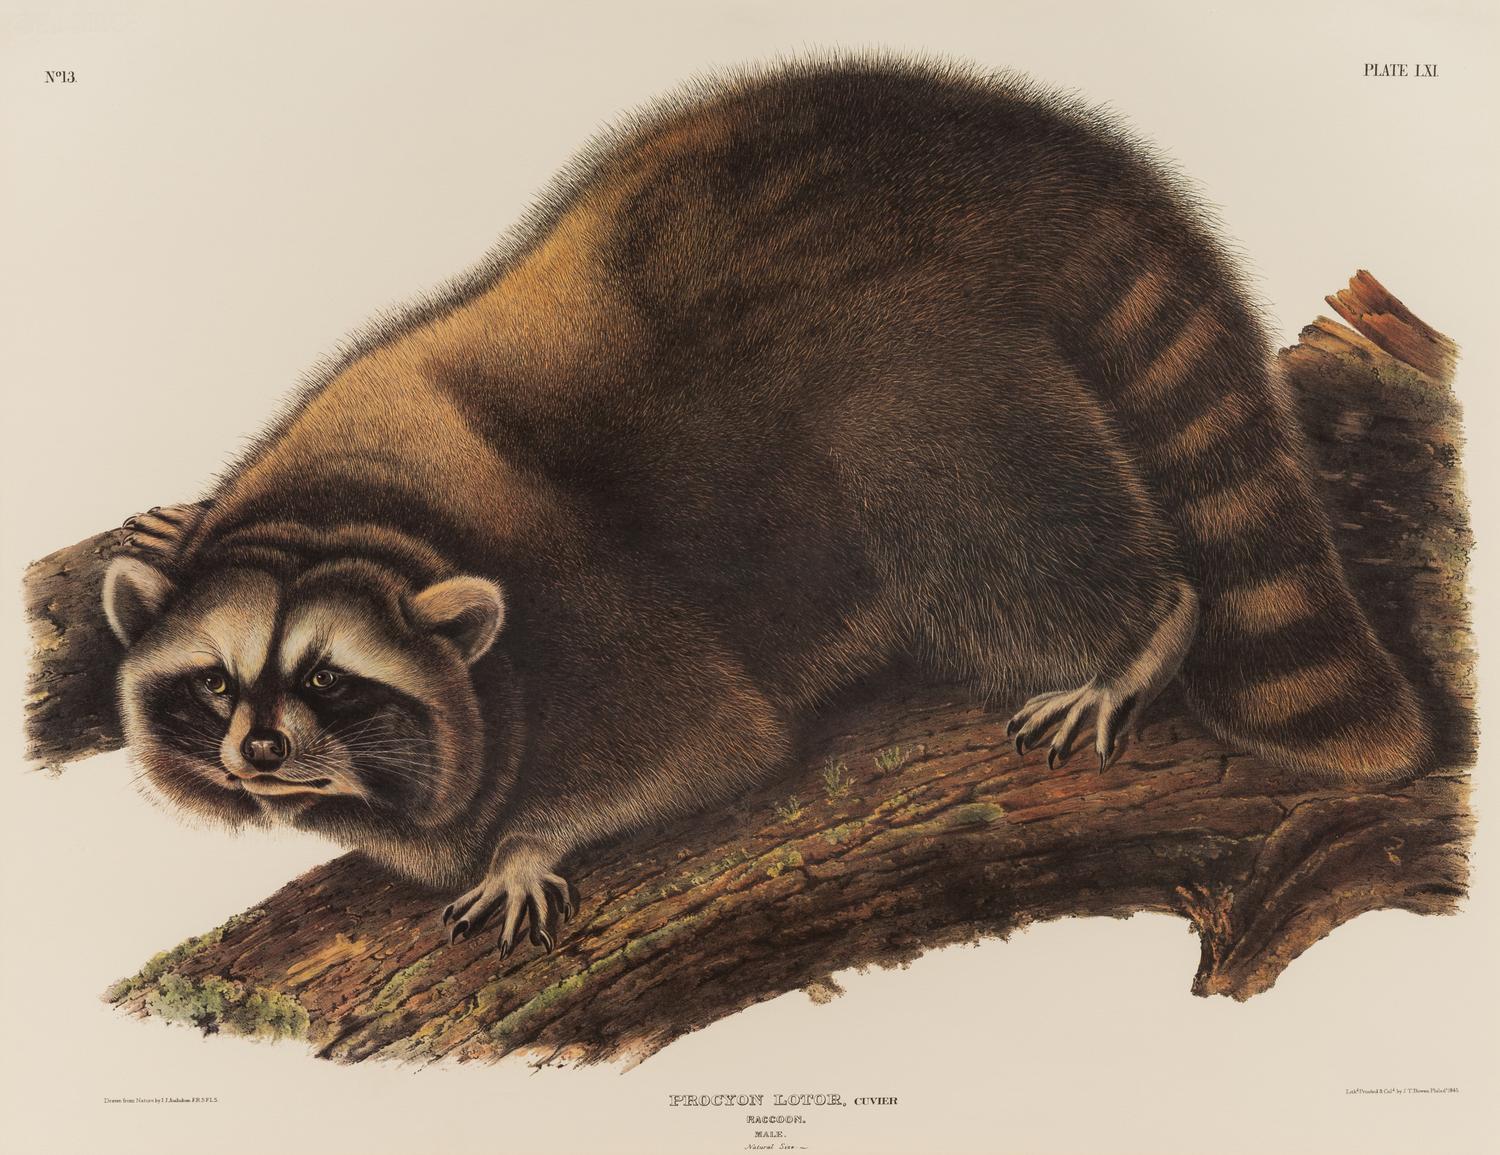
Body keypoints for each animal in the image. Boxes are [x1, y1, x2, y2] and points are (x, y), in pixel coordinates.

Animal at [101, 59, 1430, 957]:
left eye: (330, 679)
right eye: (214, 684)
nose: (260, 753)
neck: (356, 517)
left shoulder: (598, 617)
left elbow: (709, 739)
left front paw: (531, 840)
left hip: (922, 366)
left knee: (971, 506)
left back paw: (1139, 631)